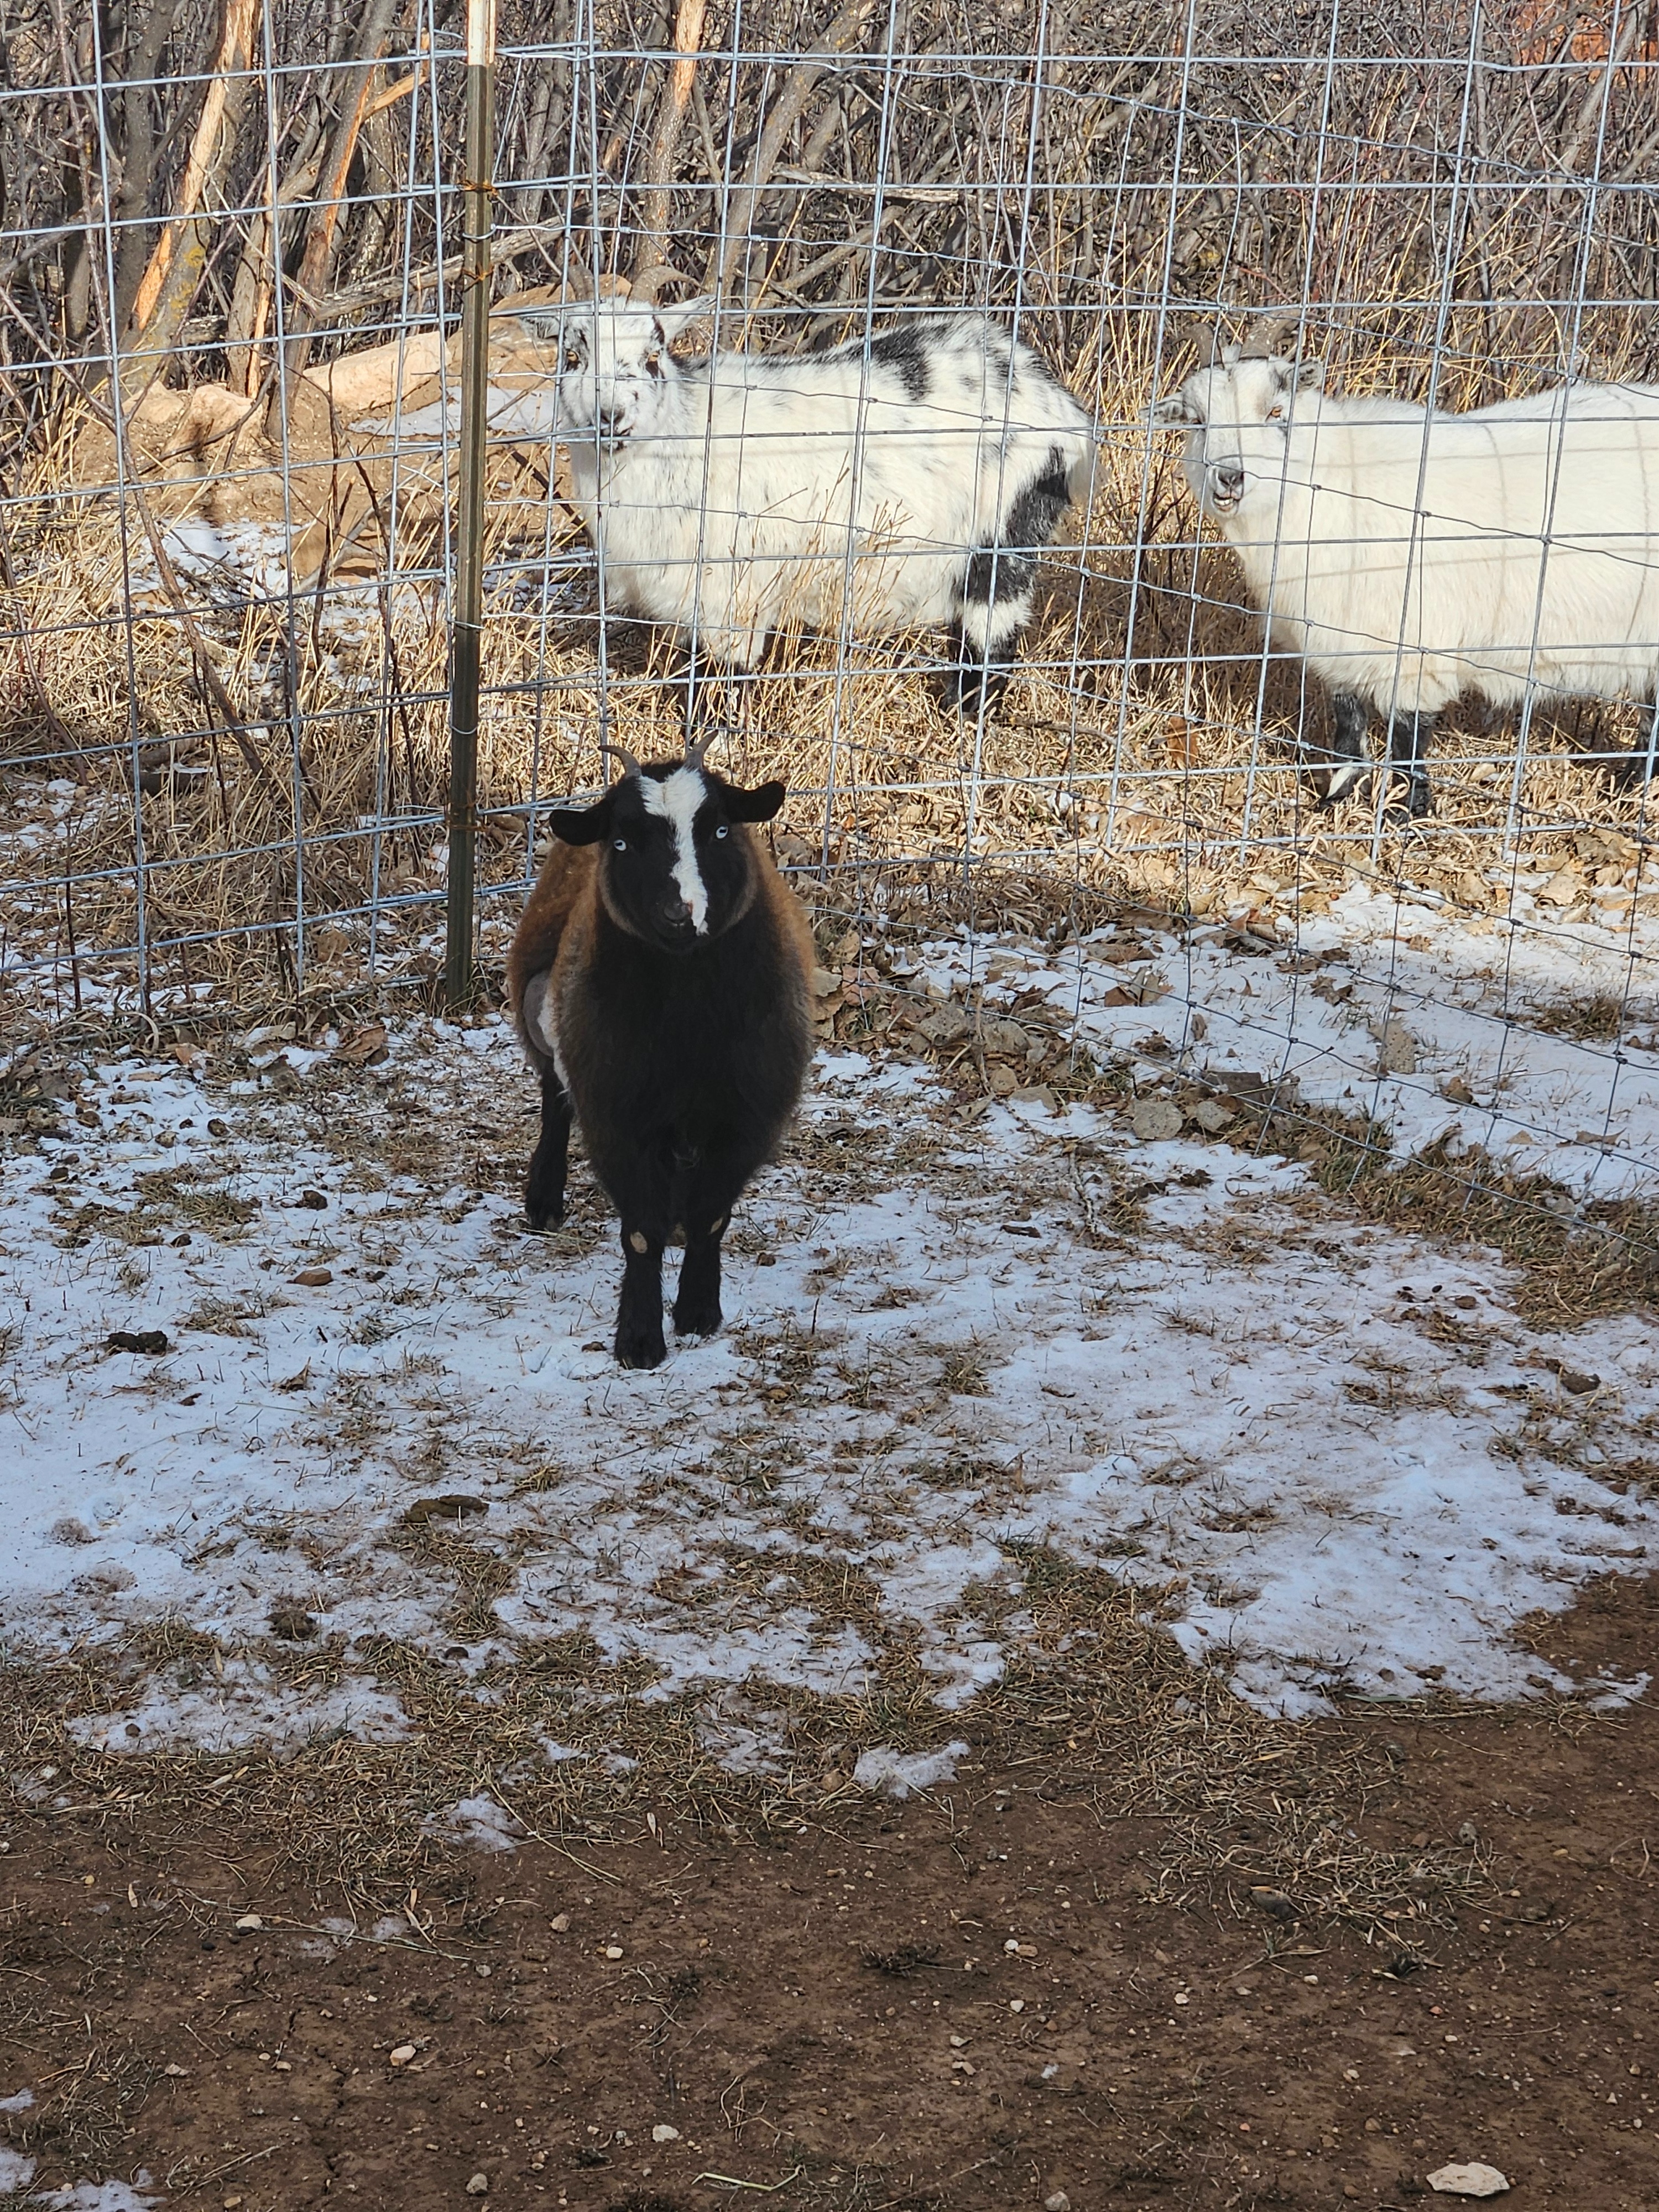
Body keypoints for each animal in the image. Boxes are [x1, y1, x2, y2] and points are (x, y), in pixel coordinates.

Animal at [470, 292, 1096, 717]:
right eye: (571, 359)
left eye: (653, 359)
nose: (612, 417)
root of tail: (1057, 399)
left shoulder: (733, 594)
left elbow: (724, 681)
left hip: (1008, 527)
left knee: (991, 631)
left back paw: (965, 718)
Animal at [505, 739, 815, 1370]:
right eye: (622, 842)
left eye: (720, 830)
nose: (680, 914)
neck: (687, 1025)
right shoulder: (617, 1113)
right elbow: (642, 1231)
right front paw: (641, 1338)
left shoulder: (747, 1115)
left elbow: (711, 1217)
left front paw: (698, 1311)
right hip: (543, 1012)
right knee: (554, 1095)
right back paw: (545, 1198)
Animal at [1152, 315, 1659, 817]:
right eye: (1197, 421)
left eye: (1277, 413)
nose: (1229, 478)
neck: (1338, 483)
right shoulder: (1341, 645)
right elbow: (1348, 727)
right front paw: (1335, 800)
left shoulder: (1415, 648)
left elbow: (1408, 735)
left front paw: (1408, 810)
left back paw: (1632, 787)